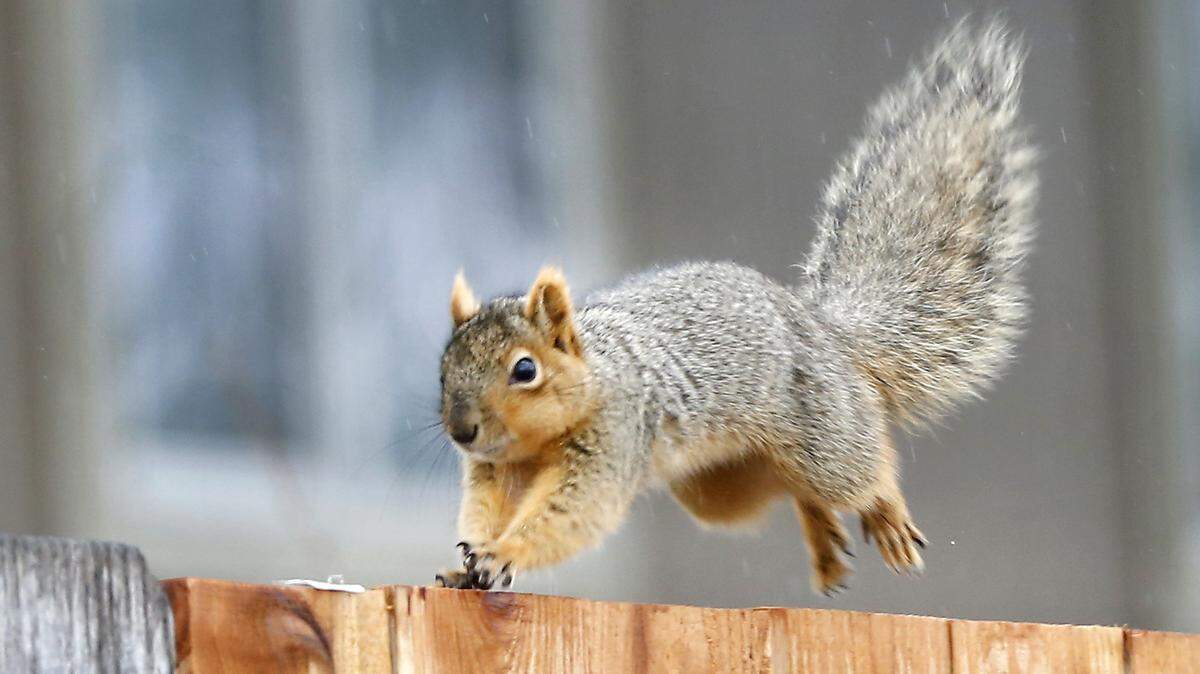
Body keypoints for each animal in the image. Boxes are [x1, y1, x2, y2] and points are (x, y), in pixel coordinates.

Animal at [433, 19, 1036, 595]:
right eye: (443, 371)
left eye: (525, 370)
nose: (461, 431)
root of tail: (823, 329)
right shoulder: (496, 471)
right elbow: (486, 511)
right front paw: (469, 561)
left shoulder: (613, 437)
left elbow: (573, 512)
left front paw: (502, 554)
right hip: (722, 484)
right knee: (791, 488)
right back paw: (825, 542)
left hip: (823, 432)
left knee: (860, 470)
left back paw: (886, 516)